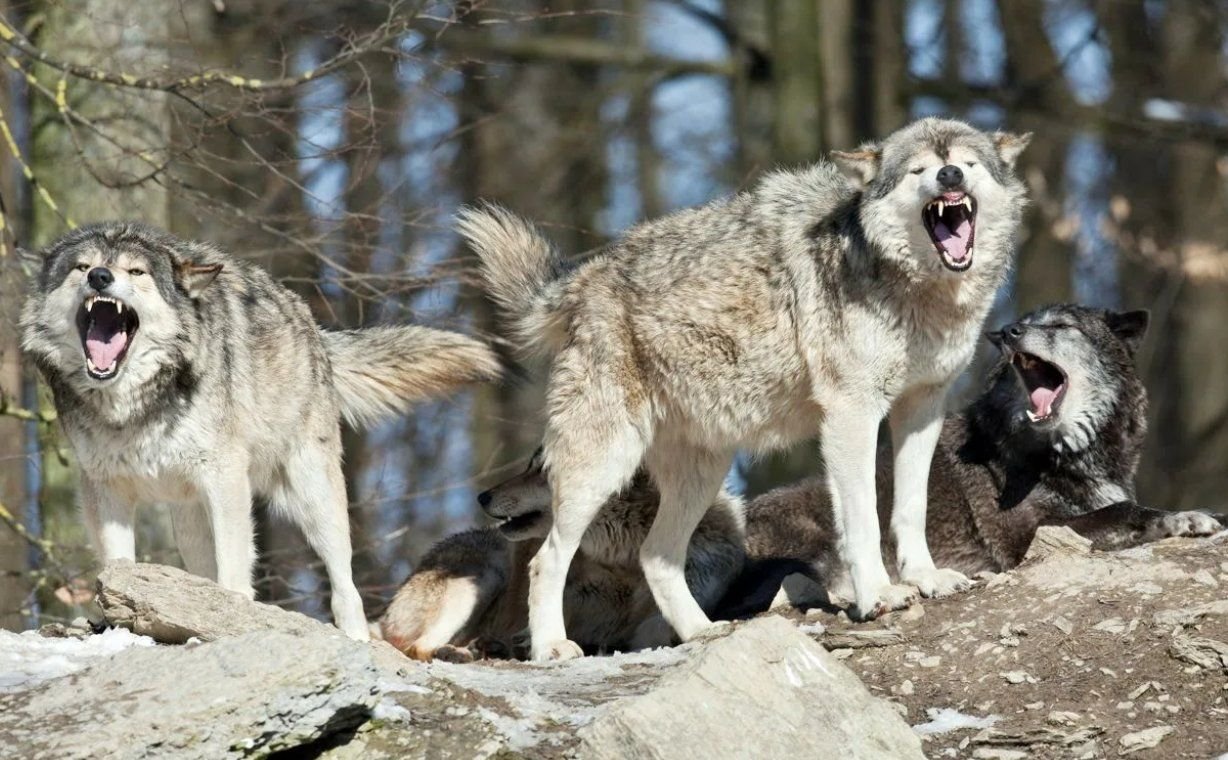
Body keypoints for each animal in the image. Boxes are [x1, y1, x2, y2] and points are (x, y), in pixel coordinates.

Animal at [19, 223, 498, 638]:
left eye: (136, 272)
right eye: (82, 266)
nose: (100, 277)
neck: (134, 406)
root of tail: (314, 328)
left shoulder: (226, 478)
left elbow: (234, 567)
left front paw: (233, 615)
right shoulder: (105, 488)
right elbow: (118, 564)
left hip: (313, 496)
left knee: (346, 584)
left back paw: (355, 637)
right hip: (188, 520)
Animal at [378, 449, 741, 663]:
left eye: (544, 469)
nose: (482, 497)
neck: (623, 560)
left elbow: (658, 627)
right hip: (485, 574)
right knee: (419, 647)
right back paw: (463, 651)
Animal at [459, 117, 1026, 658]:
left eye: (967, 162)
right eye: (918, 169)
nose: (949, 176)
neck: (918, 290)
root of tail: (583, 278)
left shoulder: (922, 408)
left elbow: (911, 507)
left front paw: (926, 578)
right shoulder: (852, 414)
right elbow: (863, 517)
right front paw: (879, 595)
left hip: (701, 475)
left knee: (655, 556)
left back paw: (701, 632)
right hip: (600, 470)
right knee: (547, 560)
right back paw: (552, 647)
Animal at [717, 303, 1228, 618]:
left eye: (1061, 325)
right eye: (1023, 322)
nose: (1008, 333)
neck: (1063, 452)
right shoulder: (1027, 539)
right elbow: (1124, 510)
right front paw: (1182, 519)